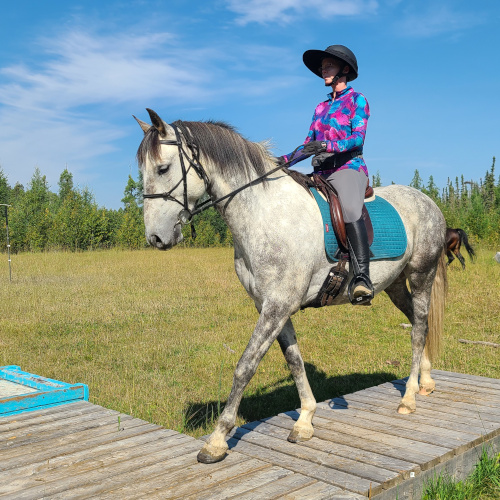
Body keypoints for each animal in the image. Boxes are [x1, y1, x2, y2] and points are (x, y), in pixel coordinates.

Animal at [135, 109, 448, 464]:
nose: (155, 238)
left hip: (421, 275)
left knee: (418, 328)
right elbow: (294, 360)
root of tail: (427, 201)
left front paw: (216, 440)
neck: (264, 215)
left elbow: (245, 366)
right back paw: (425, 381)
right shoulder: (272, 306)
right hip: (395, 285)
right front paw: (305, 419)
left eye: (163, 168)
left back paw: (409, 397)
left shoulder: (277, 306)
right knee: (419, 322)